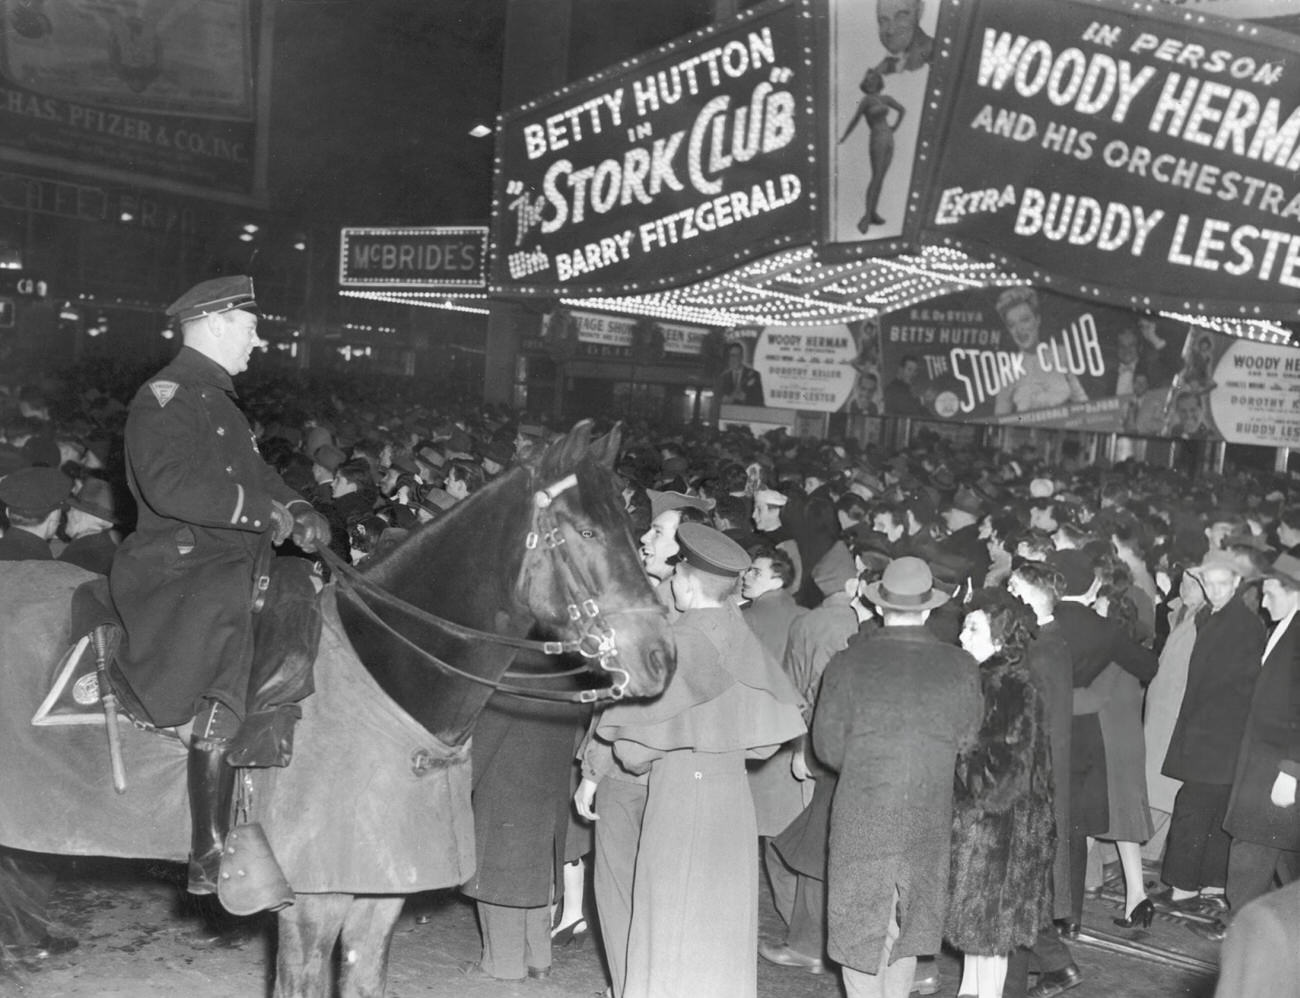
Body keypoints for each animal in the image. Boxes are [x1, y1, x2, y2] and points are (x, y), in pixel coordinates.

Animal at [0, 415, 670, 992]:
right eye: (587, 531)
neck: (386, 675)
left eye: (632, 531)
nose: (661, 656)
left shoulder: (378, 896)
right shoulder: (310, 906)